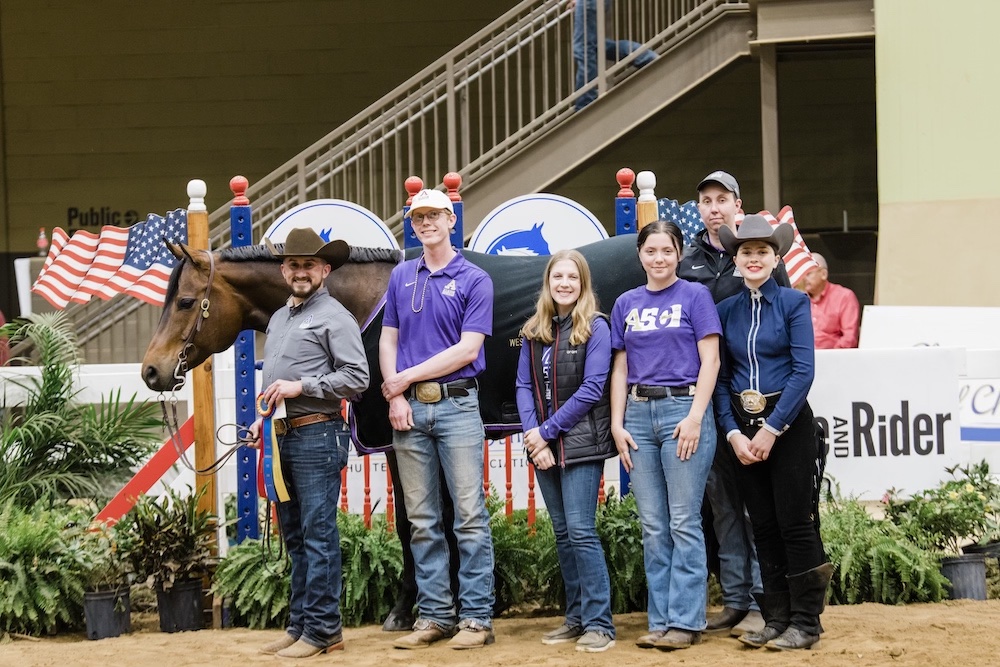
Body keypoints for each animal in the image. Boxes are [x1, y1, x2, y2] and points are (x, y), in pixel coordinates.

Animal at [141, 235, 644, 628]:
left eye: (184, 302)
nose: (151, 371)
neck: (364, 305)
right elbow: (430, 519)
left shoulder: (401, 440)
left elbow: (414, 522)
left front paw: (413, 609)